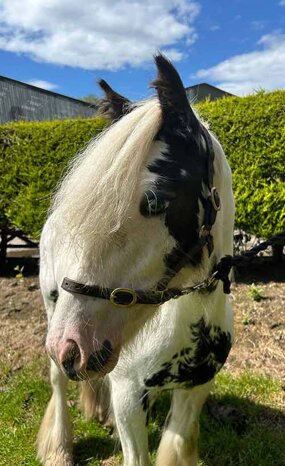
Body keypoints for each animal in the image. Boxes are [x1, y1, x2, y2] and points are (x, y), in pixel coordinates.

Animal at [37, 55, 233, 466]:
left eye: (156, 201)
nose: (71, 347)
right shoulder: (129, 395)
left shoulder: (195, 389)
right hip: (51, 310)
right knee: (57, 379)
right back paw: (60, 447)